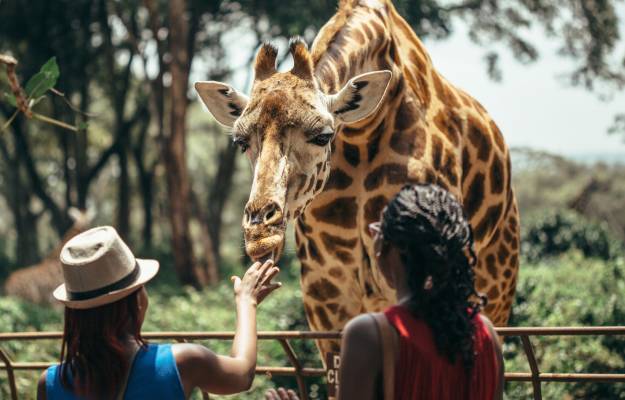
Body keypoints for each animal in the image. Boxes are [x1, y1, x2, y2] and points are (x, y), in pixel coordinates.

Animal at [195, 0, 516, 356]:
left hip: (497, 283)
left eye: (323, 136)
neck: (362, 134)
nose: (260, 234)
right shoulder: (326, 296)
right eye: (241, 142)